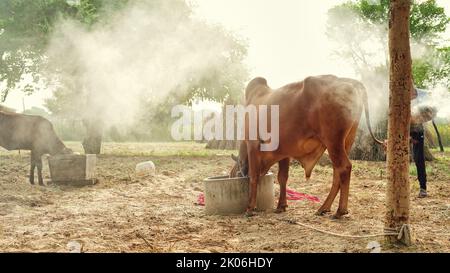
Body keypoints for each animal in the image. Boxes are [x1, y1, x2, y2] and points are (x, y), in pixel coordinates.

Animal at [230, 75, 382, 219]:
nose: (233, 175)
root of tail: (348, 81)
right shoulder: (283, 153)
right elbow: (282, 177)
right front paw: (281, 206)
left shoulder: (253, 145)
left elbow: (253, 176)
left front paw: (250, 208)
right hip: (346, 141)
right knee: (337, 172)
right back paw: (324, 208)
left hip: (333, 141)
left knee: (344, 168)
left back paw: (340, 211)